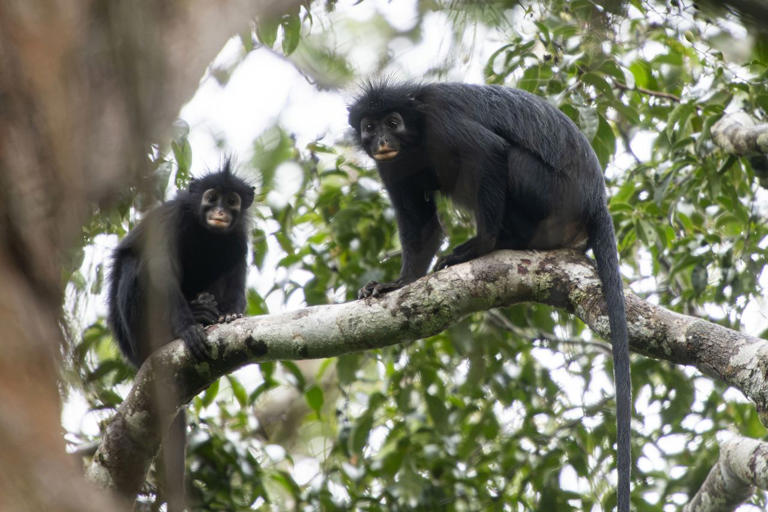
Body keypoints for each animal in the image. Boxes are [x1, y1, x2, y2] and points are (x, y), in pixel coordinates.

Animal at [106, 161, 254, 511]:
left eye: (232, 201)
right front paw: (188, 329)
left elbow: (236, 270)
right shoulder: (171, 221)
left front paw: (230, 316)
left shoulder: (238, 236)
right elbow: (160, 271)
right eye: (212, 197)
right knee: (136, 264)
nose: (219, 212)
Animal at [348, 81, 631, 512]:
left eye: (392, 122)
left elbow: (490, 153)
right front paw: (396, 284)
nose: (381, 140)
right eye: (369, 126)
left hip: (549, 192)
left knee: (506, 157)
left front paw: (481, 246)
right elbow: (421, 226)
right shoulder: (392, 166)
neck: (416, 134)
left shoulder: (442, 120)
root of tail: (595, 199)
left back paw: (498, 242)